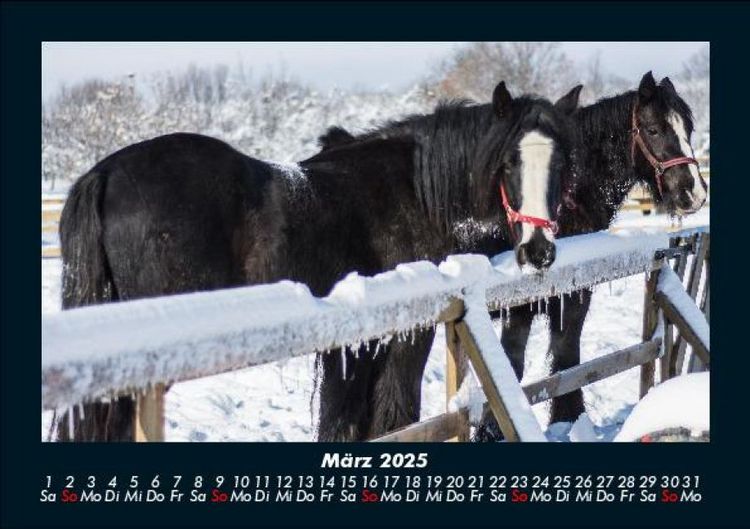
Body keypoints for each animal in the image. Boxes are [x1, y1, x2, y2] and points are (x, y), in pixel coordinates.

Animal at [54, 81, 581, 441]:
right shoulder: (403, 336)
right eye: (508, 163)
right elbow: (392, 416)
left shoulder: (354, 348)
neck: (415, 191)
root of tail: (104, 174)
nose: (539, 249)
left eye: (561, 162)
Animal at [474, 71, 708, 441]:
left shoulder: (570, 296)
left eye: (688, 128)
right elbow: (517, 364)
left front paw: (567, 420)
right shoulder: (524, 306)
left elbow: (567, 360)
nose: (693, 193)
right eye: (654, 129)